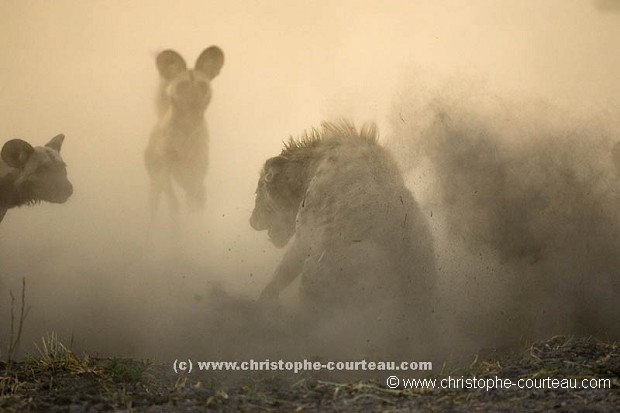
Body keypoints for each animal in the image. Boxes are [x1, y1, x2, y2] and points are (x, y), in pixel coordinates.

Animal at [144, 46, 224, 222]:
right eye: (182, 86)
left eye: (202, 86)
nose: (193, 104)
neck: (186, 130)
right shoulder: (164, 168)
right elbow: (173, 203)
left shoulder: (196, 174)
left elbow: (192, 205)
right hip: (156, 183)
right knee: (154, 206)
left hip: (188, 181)